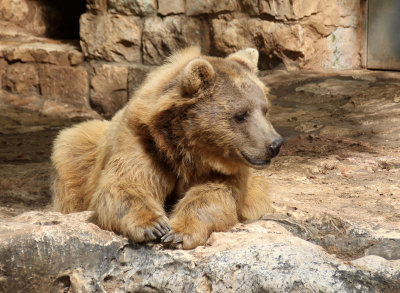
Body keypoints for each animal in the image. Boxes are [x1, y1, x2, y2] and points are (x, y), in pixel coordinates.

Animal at [50, 46, 284, 248]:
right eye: (241, 115)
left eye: (264, 109)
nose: (275, 144)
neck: (189, 151)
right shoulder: (143, 142)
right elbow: (124, 184)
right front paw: (154, 225)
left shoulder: (224, 170)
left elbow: (214, 194)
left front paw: (178, 233)